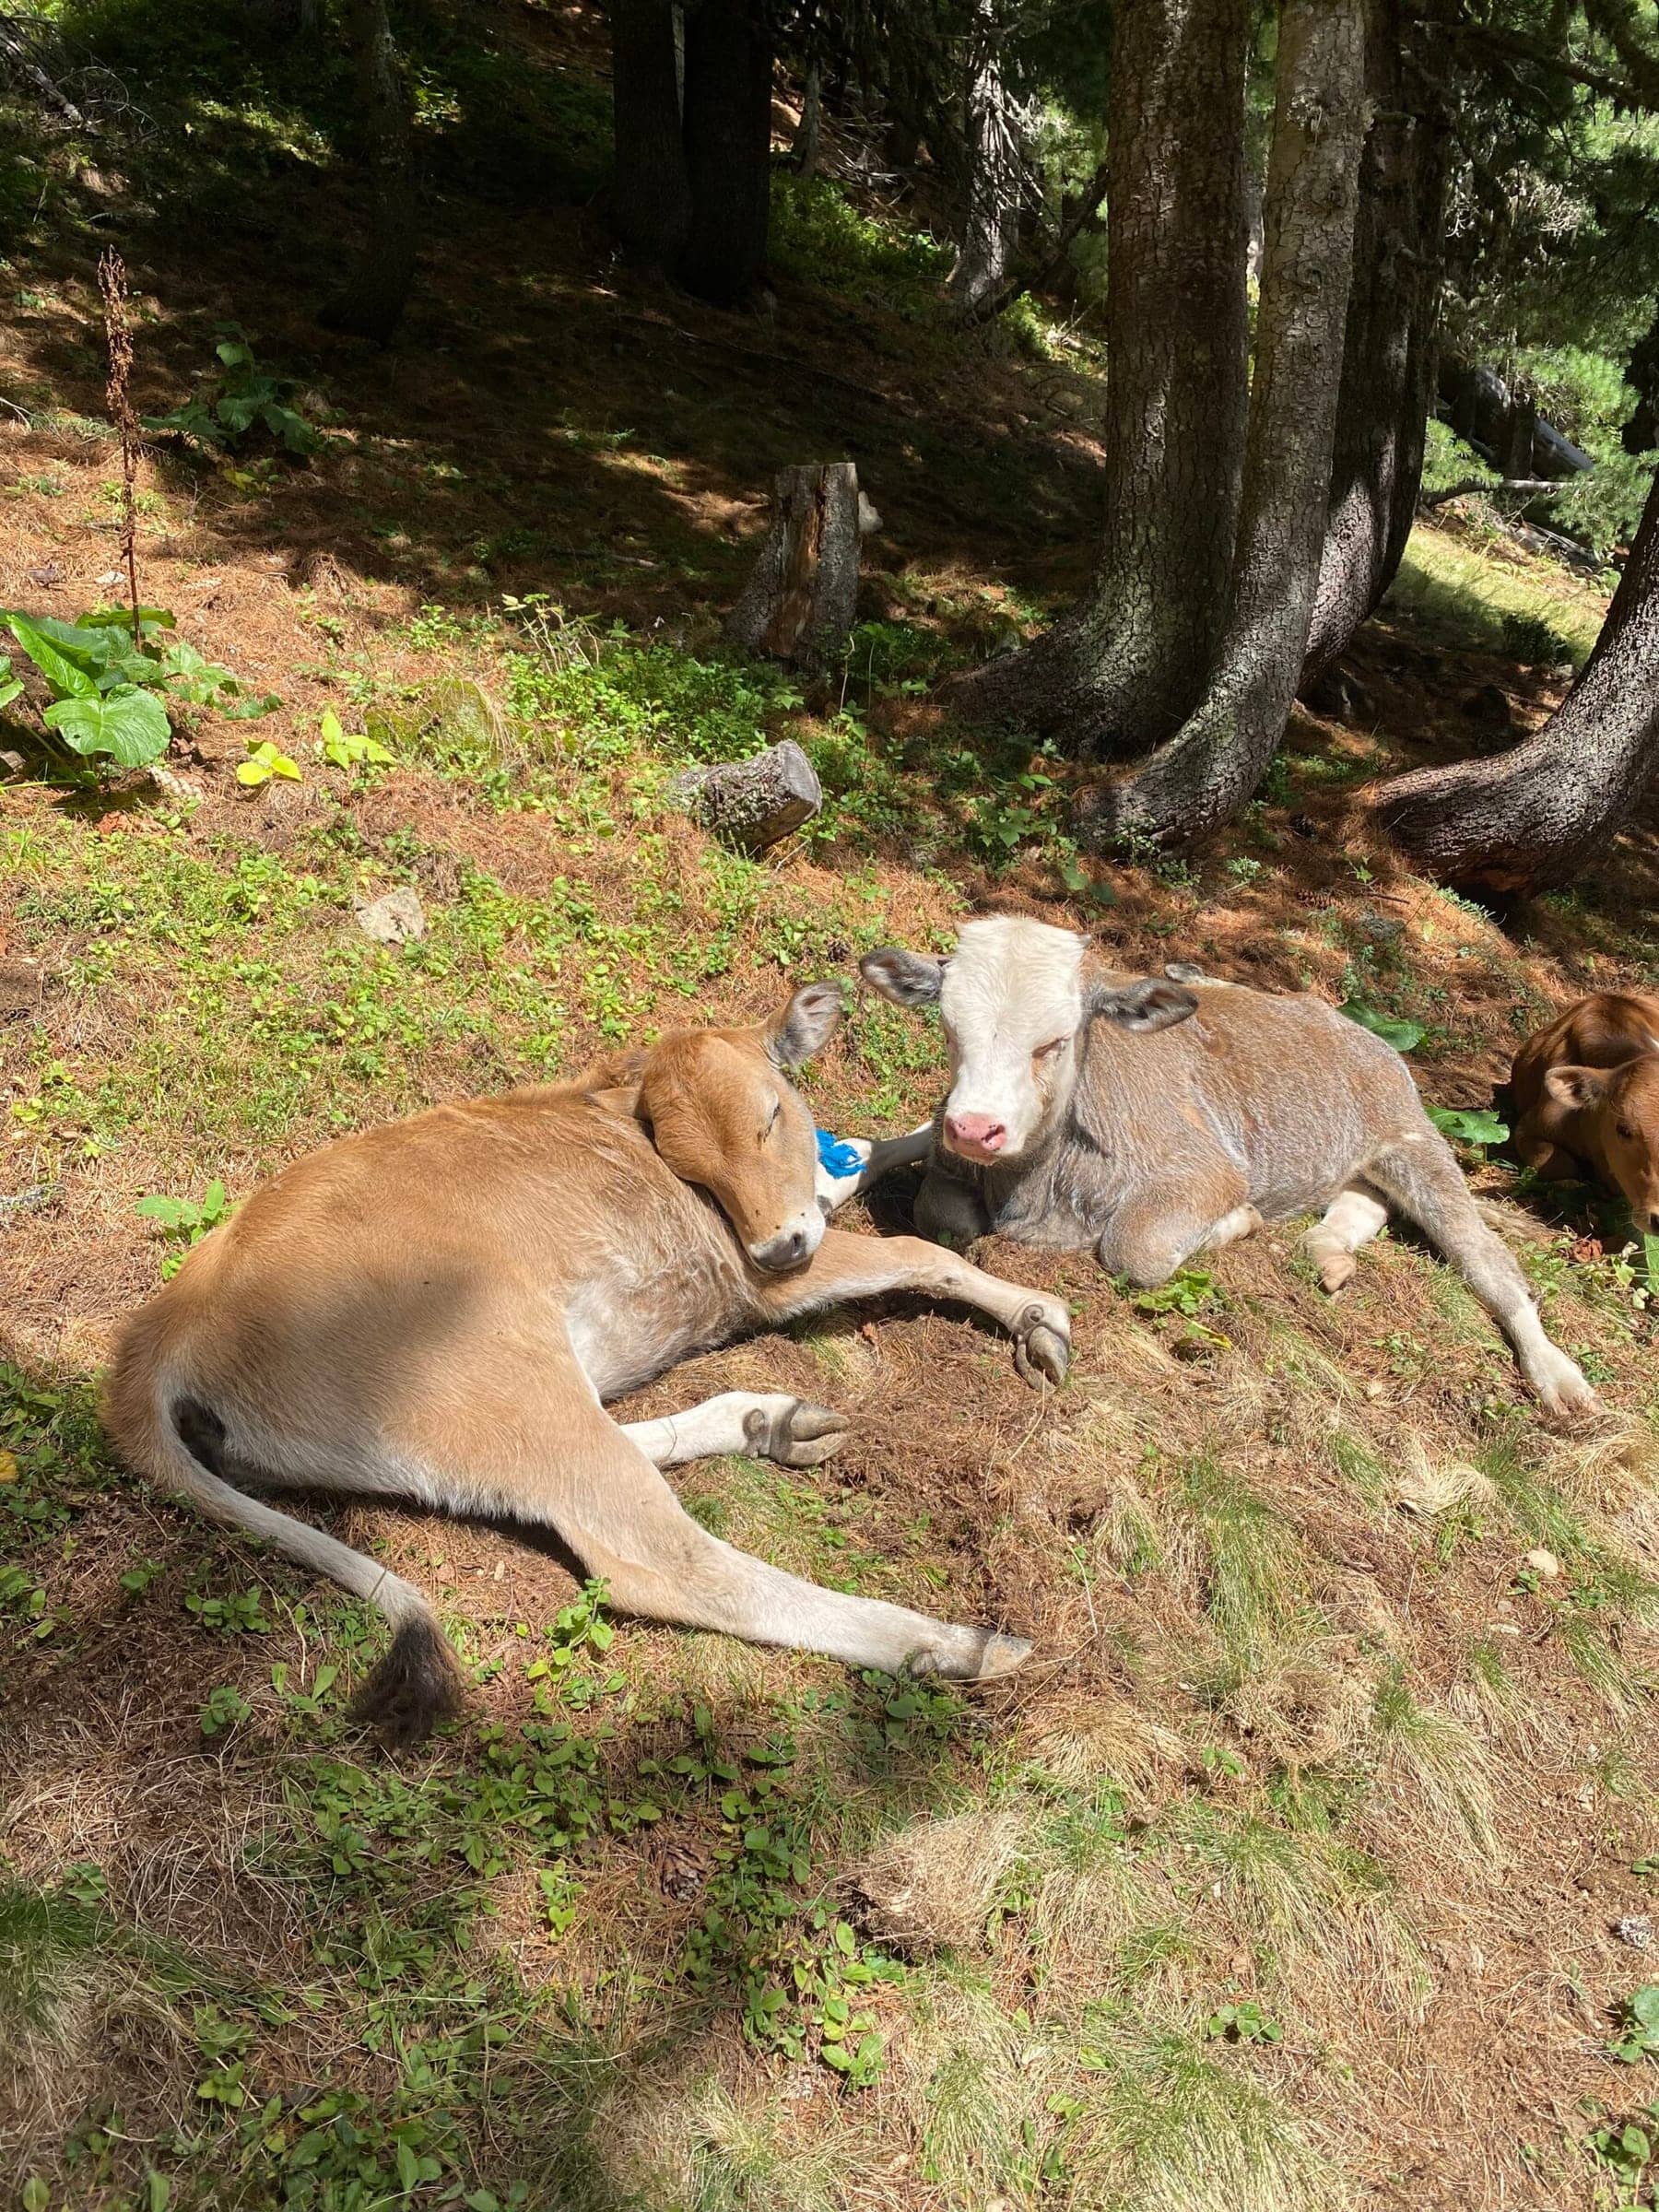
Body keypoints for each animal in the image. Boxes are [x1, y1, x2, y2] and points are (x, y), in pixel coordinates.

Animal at [104, 984, 1072, 1741]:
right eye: (691, 1165)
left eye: (770, 1116)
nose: (777, 1243)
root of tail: (170, 1321)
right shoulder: (770, 1280)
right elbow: (917, 1249)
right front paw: (1042, 1318)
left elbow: (873, 1151)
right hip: (501, 1368)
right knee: (662, 1562)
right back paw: (957, 1644)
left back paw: (769, 1421)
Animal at [859, 916, 1595, 1417]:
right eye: (949, 1029)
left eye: (1055, 1041)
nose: (973, 1127)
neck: (1038, 1184)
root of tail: (1353, 1026)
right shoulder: (953, 1168)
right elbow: (941, 1218)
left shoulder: (1207, 1170)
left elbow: (1136, 1248)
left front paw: (1236, 1223)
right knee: (1364, 1199)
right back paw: (1326, 1253)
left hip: (1411, 1135)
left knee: (1484, 1256)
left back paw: (1558, 1377)